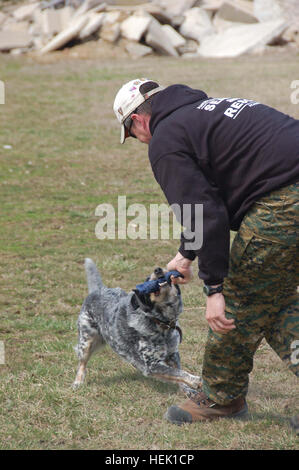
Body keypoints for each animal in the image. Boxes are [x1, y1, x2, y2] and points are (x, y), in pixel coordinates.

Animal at [74, 258, 203, 392]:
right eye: (147, 279)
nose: (157, 269)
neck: (162, 324)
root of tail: (99, 289)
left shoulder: (173, 354)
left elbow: (178, 372)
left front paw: (188, 390)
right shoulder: (150, 365)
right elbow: (177, 373)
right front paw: (195, 380)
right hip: (86, 342)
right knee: (82, 363)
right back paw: (78, 382)